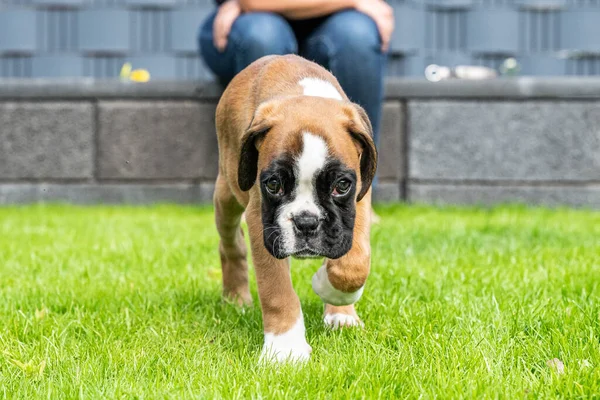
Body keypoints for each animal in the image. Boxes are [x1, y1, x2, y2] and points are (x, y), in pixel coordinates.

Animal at [214, 54, 376, 362]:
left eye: (341, 185)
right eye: (274, 184)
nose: (306, 222)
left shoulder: (359, 199)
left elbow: (353, 264)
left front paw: (335, 299)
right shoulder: (262, 222)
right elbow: (276, 289)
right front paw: (284, 348)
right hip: (227, 194)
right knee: (230, 244)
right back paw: (236, 297)